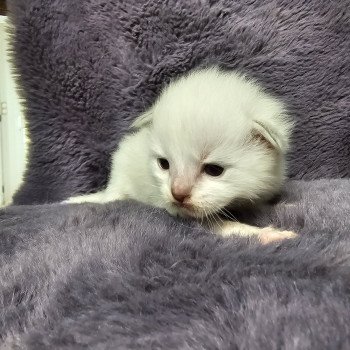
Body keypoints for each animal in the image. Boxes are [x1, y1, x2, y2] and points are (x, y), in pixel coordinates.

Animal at [65, 67, 296, 245]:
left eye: (214, 170)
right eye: (164, 164)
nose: (178, 194)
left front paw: (285, 206)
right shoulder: (183, 213)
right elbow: (225, 225)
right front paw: (266, 234)